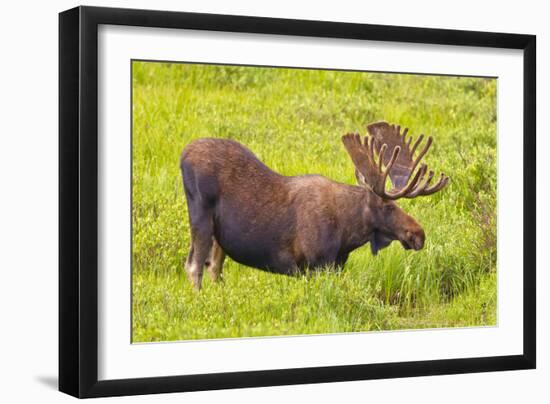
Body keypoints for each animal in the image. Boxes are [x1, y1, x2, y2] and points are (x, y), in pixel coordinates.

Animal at [180, 121, 448, 288]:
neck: (347, 234)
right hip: (200, 217)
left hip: (220, 236)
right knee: (193, 266)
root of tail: (182, 155)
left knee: (214, 267)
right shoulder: (315, 264)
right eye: (388, 206)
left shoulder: (337, 265)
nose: (419, 234)